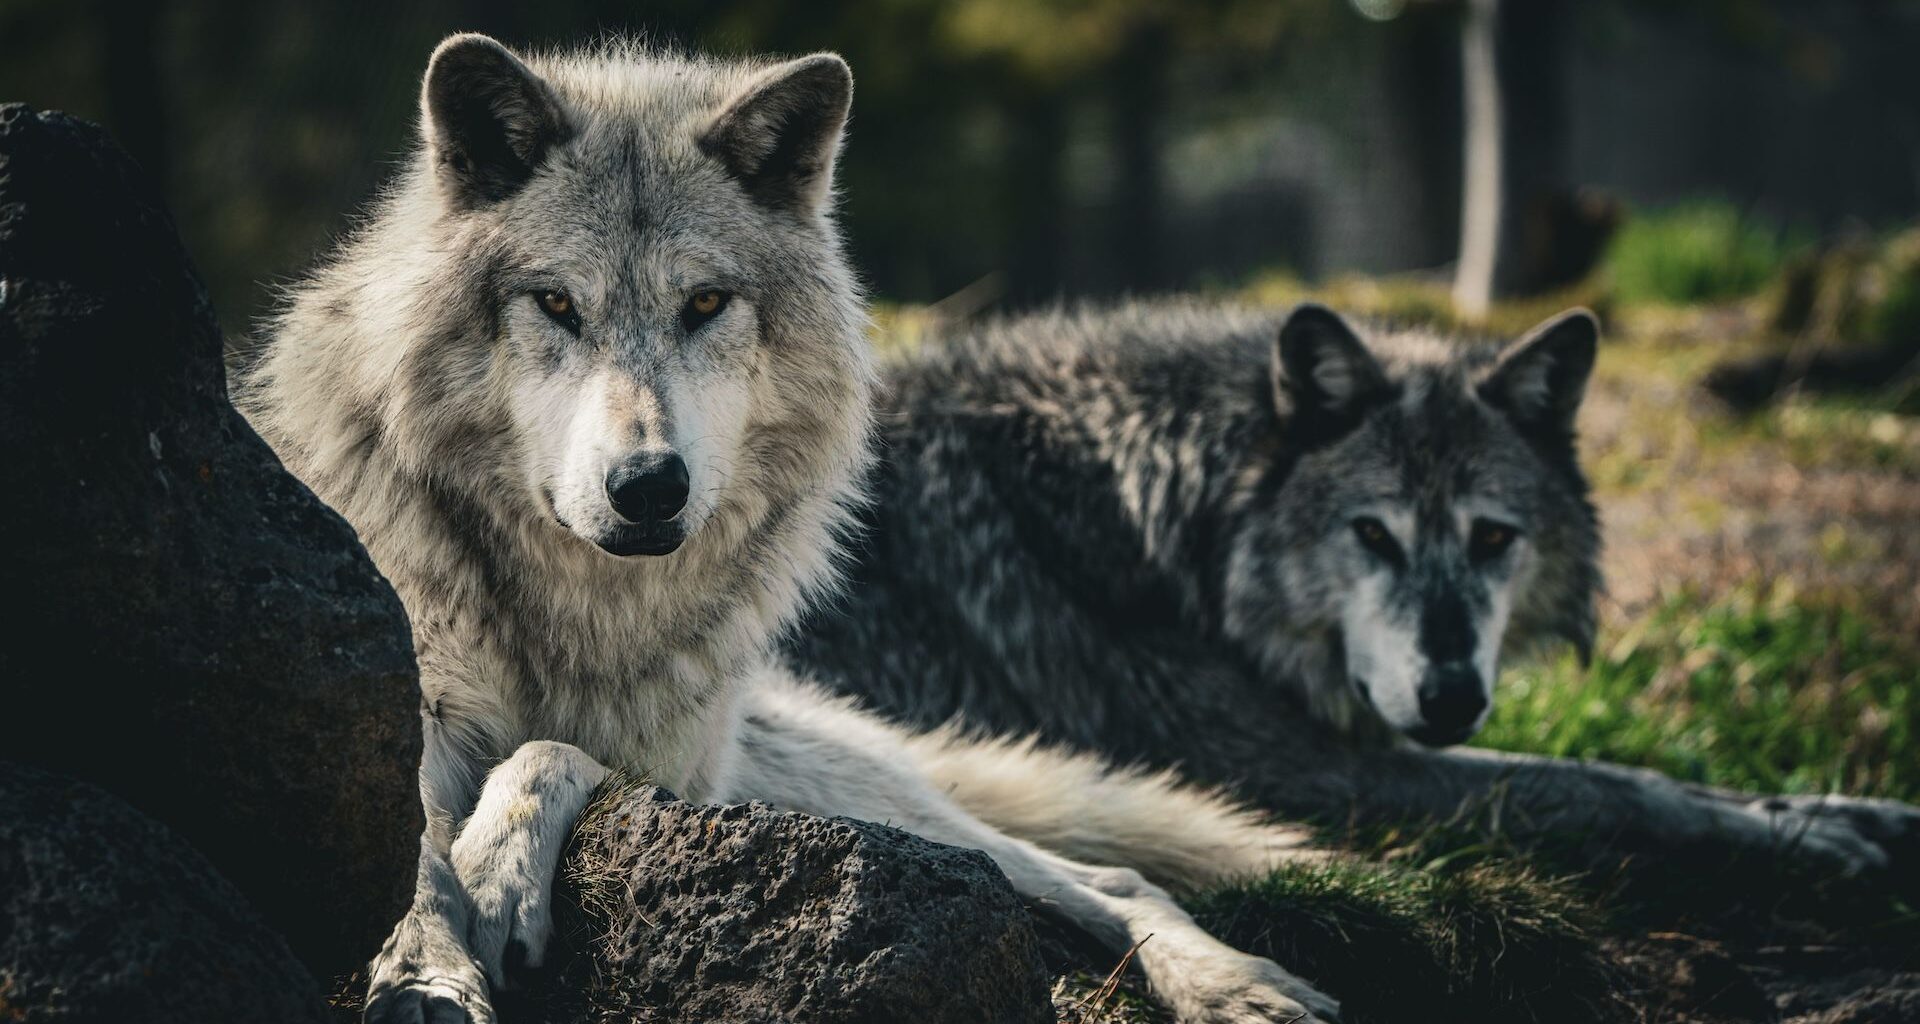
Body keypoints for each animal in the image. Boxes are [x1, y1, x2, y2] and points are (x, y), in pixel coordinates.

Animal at [241, 34, 1348, 1024]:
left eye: (705, 303)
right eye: (555, 302)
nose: (649, 487)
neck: (578, 613)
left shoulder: (684, 765)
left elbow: (550, 750)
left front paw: (499, 871)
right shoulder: (404, 715)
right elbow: (412, 857)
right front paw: (427, 973)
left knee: (1112, 879)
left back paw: (1241, 986)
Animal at [786, 300, 1920, 876]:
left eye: (1493, 538)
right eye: (1372, 534)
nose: (1452, 696)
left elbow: (1626, 768)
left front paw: (1845, 807)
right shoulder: (1297, 770)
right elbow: (1593, 781)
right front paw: (1809, 834)